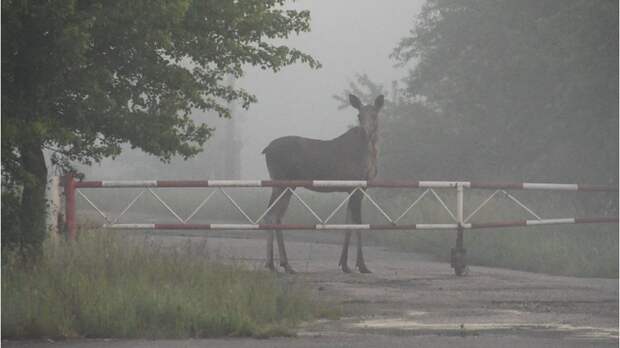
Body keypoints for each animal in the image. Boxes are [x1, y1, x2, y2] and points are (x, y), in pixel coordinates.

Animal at [260, 94, 382, 274]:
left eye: (374, 115)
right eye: (359, 116)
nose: (365, 133)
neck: (370, 154)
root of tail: (266, 149)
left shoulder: (353, 189)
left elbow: (348, 223)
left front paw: (344, 264)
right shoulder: (357, 186)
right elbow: (359, 224)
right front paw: (362, 265)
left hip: (285, 185)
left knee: (274, 214)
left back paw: (278, 263)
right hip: (282, 182)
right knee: (272, 214)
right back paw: (277, 263)